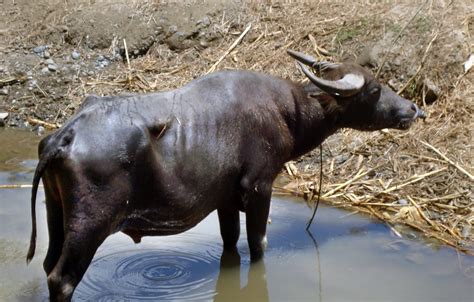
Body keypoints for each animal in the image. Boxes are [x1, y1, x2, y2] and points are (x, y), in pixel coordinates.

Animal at [27, 49, 424, 300]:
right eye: (374, 88)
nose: (413, 109)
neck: (286, 111)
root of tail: (64, 136)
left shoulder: (227, 201)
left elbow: (231, 244)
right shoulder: (259, 189)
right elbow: (258, 245)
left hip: (56, 214)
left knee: (46, 266)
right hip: (90, 225)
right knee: (62, 280)